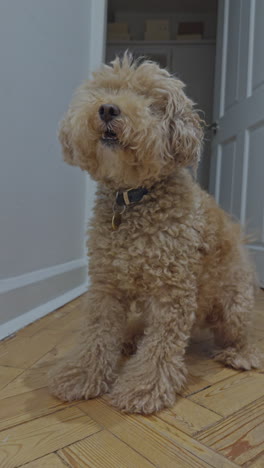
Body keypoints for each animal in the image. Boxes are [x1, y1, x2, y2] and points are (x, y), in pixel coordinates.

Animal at [49, 53, 262, 414]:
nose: (108, 109)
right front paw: (82, 376)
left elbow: (160, 348)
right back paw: (130, 336)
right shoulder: (106, 284)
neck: (133, 198)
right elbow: (96, 335)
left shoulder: (172, 292)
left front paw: (142, 389)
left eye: (151, 101)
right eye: (107, 90)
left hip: (233, 302)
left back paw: (240, 354)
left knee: (241, 331)